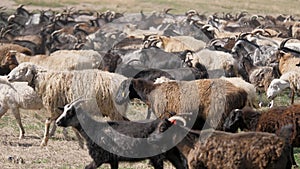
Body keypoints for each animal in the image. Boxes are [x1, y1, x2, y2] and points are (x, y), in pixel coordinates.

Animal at [55, 97, 189, 169]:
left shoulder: (100, 158)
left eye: (70, 112)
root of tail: (170, 122)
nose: (57, 122)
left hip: (158, 156)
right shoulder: (113, 159)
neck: (93, 129)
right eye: (64, 110)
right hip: (172, 153)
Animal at [114, 77, 246, 130]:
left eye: (123, 87)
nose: (116, 100)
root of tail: (241, 92)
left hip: (217, 117)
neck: (151, 92)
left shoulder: (165, 114)